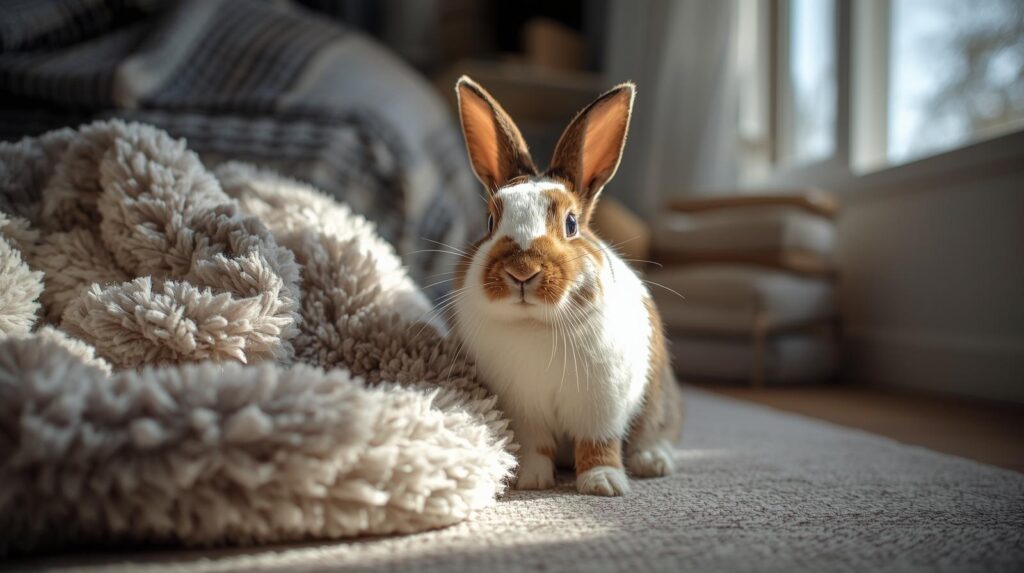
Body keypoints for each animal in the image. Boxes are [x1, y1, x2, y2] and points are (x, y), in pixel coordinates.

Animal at [450, 76, 684, 497]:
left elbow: (598, 443)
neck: (536, 325)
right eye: (490, 222)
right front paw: (529, 480)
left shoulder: (601, 404)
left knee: (655, 430)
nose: (522, 272)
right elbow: (533, 444)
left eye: (571, 223)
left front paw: (603, 483)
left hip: (658, 399)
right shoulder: (522, 408)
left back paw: (653, 462)